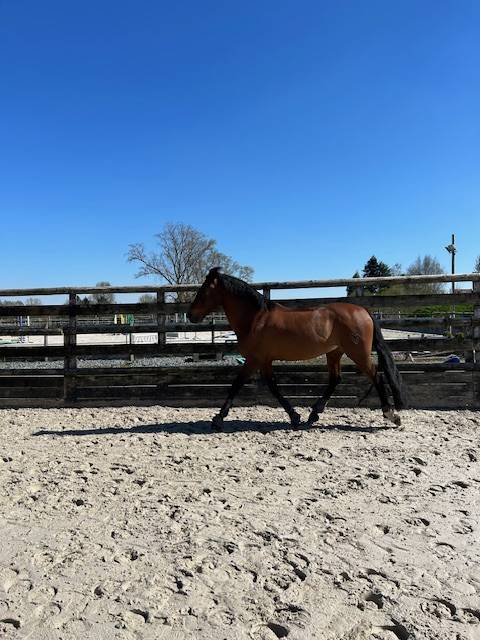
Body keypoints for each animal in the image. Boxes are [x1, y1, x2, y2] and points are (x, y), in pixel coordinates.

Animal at [187, 268, 408, 431]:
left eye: (203, 291)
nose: (190, 315)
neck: (256, 319)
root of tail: (363, 311)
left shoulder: (254, 359)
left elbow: (236, 384)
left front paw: (218, 419)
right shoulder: (264, 361)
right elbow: (273, 387)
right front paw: (295, 416)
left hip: (358, 353)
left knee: (376, 376)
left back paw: (391, 415)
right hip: (334, 352)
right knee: (335, 379)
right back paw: (313, 414)